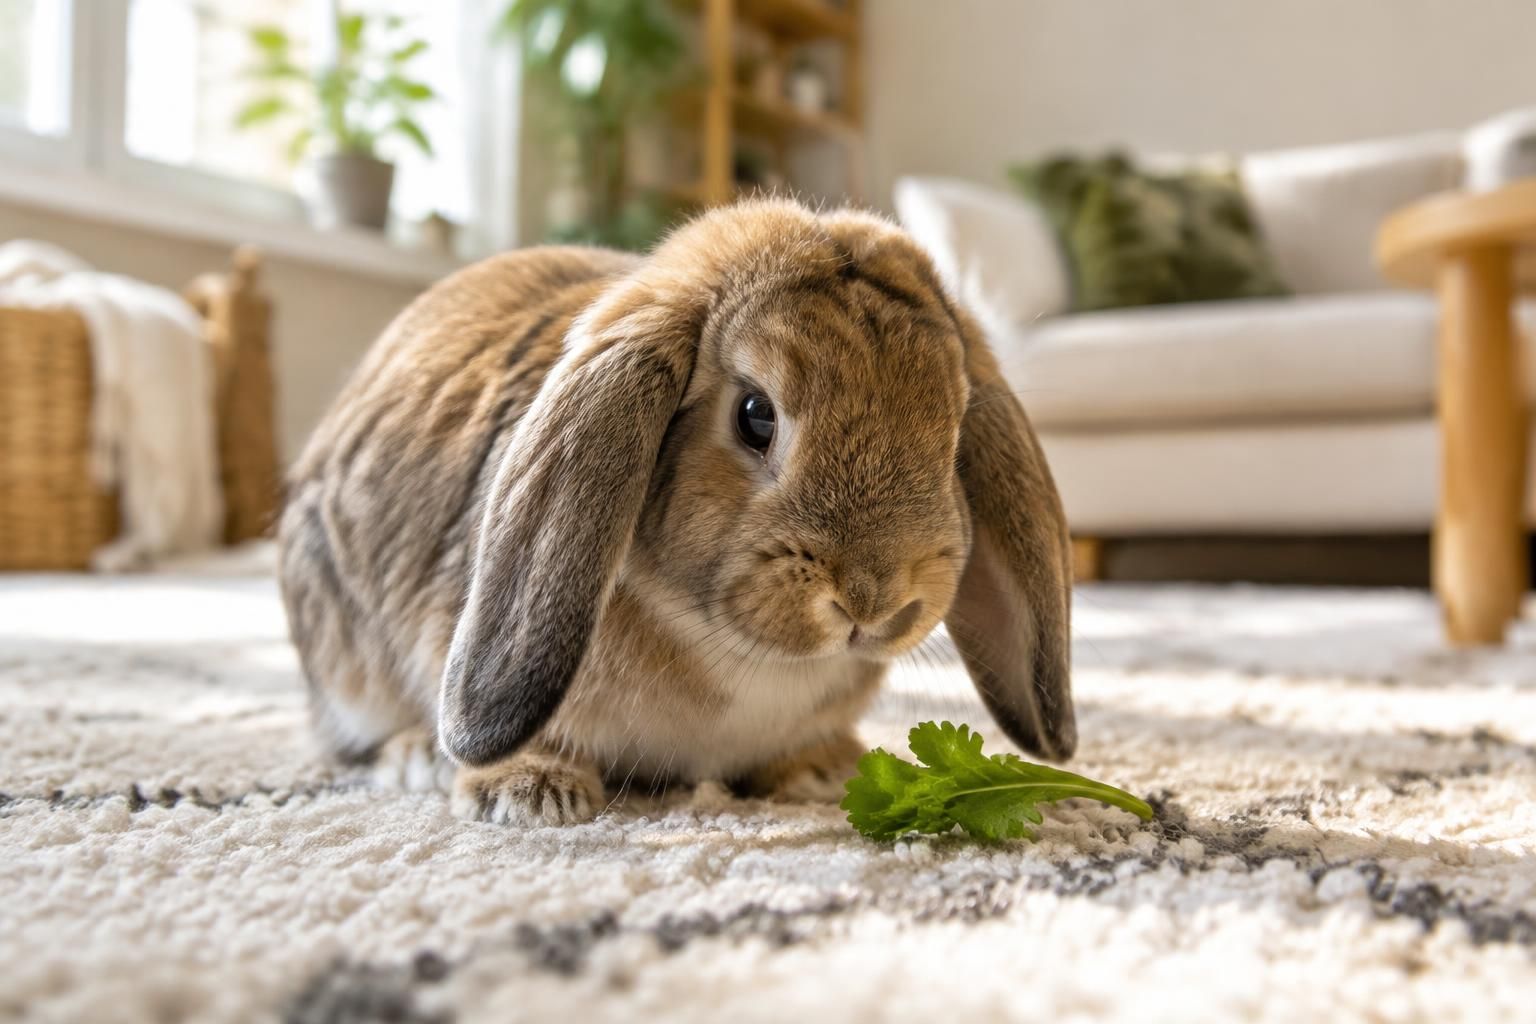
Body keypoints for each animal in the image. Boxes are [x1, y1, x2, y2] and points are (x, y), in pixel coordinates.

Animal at [277, 198, 1075, 826]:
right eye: (756, 416)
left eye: (956, 431)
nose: (872, 600)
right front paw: (529, 793)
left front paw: (823, 771)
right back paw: (421, 756)